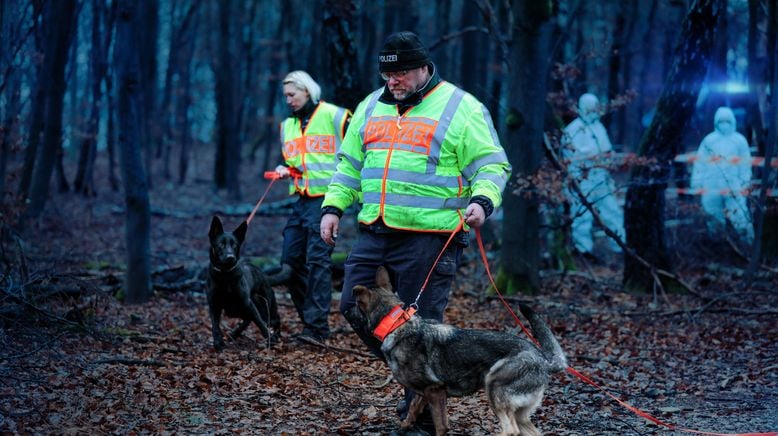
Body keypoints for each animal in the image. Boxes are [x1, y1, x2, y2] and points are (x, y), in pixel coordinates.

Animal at [206, 216, 278, 352]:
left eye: (235, 245)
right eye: (221, 245)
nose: (230, 257)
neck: (225, 276)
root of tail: (262, 273)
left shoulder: (248, 303)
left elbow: (260, 323)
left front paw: (271, 340)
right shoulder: (214, 305)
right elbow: (215, 325)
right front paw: (218, 343)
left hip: (265, 303)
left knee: (272, 319)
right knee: (248, 319)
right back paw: (235, 333)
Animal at [352, 268, 564, 434]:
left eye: (356, 305)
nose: (347, 311)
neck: (395, 324)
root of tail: (543, 359)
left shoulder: (435, 391)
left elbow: (440, 426)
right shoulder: (425, 393)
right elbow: (412, 410)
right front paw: (405, 426)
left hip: (493, 384)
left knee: (510, 430)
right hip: (519, 412)